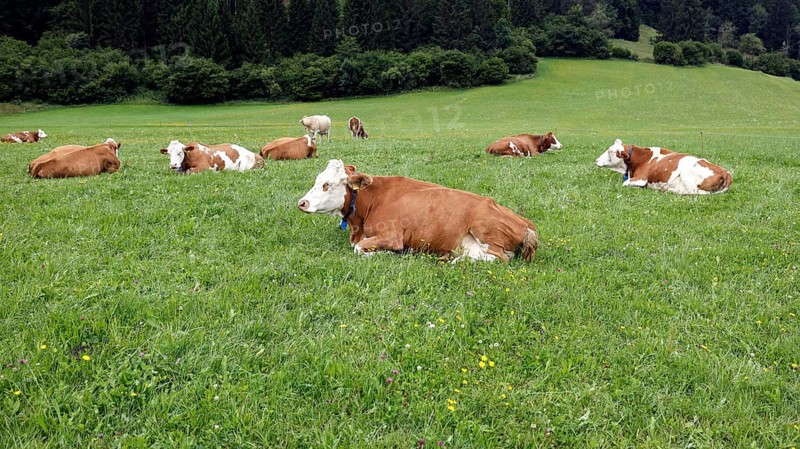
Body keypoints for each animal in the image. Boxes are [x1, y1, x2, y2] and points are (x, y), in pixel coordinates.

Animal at [297, 160, 539, 262]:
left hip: (485, 230)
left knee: (500, 259)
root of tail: (526, 223)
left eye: (327, 184)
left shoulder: (392, 236)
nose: (302, 203)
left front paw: (388, 253)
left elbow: (359, 249)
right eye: (317, 180)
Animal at [595, 139, 733, 195]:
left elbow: (625, 184)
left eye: (610, 151)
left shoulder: (641, 178)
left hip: (687, 173)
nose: (596, 160)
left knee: (693, 192)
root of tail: (726, 172)